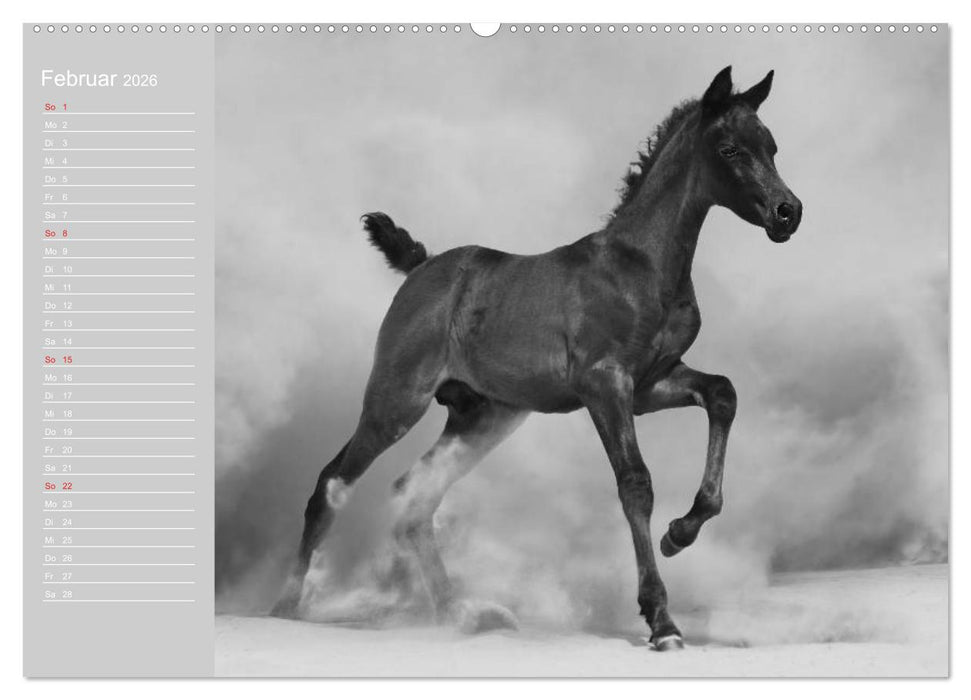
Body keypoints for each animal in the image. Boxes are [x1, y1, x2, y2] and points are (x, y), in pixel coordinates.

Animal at [270, 66, 803, 651]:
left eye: (772, 147)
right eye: (730, 149)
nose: (788, 212)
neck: (642, 266)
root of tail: (423, 266)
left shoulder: (651, 384)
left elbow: (723, 393)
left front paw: (680, 533)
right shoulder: (605, 385)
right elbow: (635, 484)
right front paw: (661, 619)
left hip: (482, 417)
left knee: (414, 496)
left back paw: (461, 614)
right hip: (396, 401)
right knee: (331, 483)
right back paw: (285, 606)